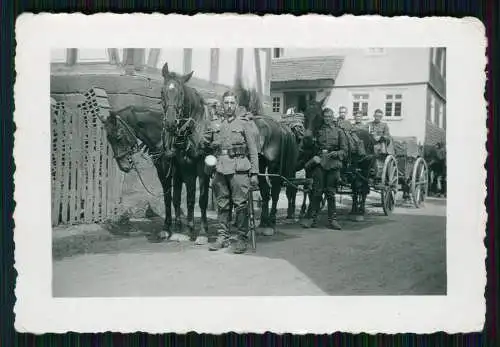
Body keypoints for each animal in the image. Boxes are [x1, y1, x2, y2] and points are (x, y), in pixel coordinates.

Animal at [158, 62, 211, 243]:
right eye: (162, 92)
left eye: (181, 93)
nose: (170, 123)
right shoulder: (181, 167)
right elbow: (182, 198)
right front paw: (183, 230)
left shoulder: (202, 169)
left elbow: (202, 199)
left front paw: (202, 232)